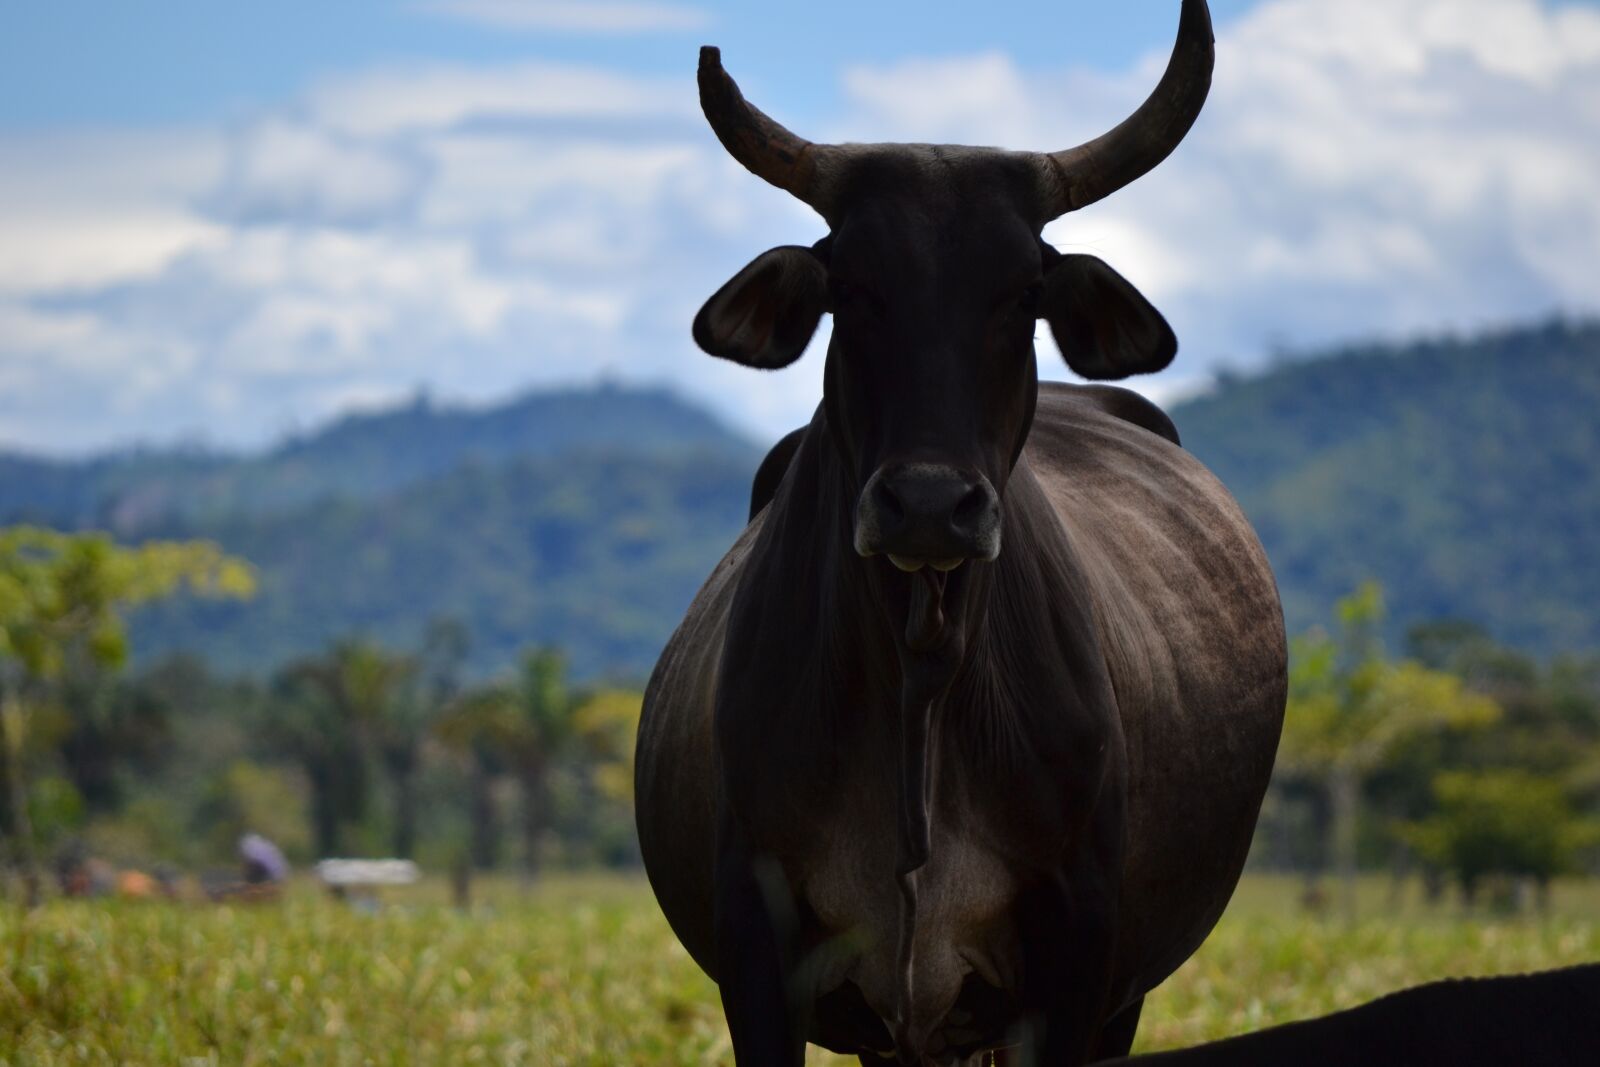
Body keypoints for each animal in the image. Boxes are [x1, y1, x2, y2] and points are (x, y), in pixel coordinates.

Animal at [634, 2, 1288, 1064]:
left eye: (1023, 291)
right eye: (850, 286)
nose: (931, 504)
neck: (924, 669)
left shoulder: (1079, 961)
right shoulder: (757, 952)